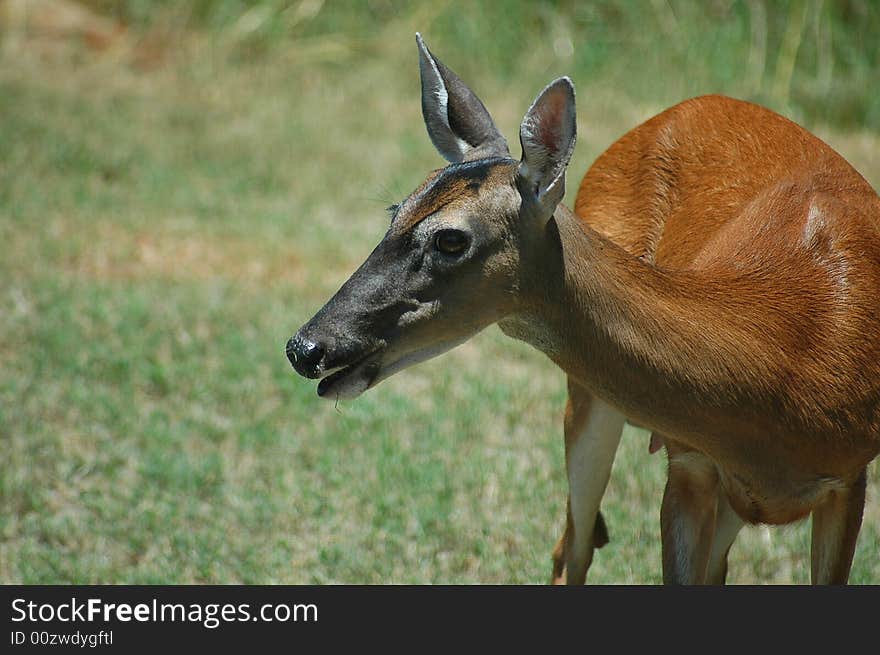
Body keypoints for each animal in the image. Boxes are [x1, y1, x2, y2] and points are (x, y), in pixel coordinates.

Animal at [288, 33, 880, 584]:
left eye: (450, 239)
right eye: (396, 210)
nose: (304, 347)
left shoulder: (850, 478)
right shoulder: (687, 461)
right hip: (589, 401)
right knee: (571, 547)